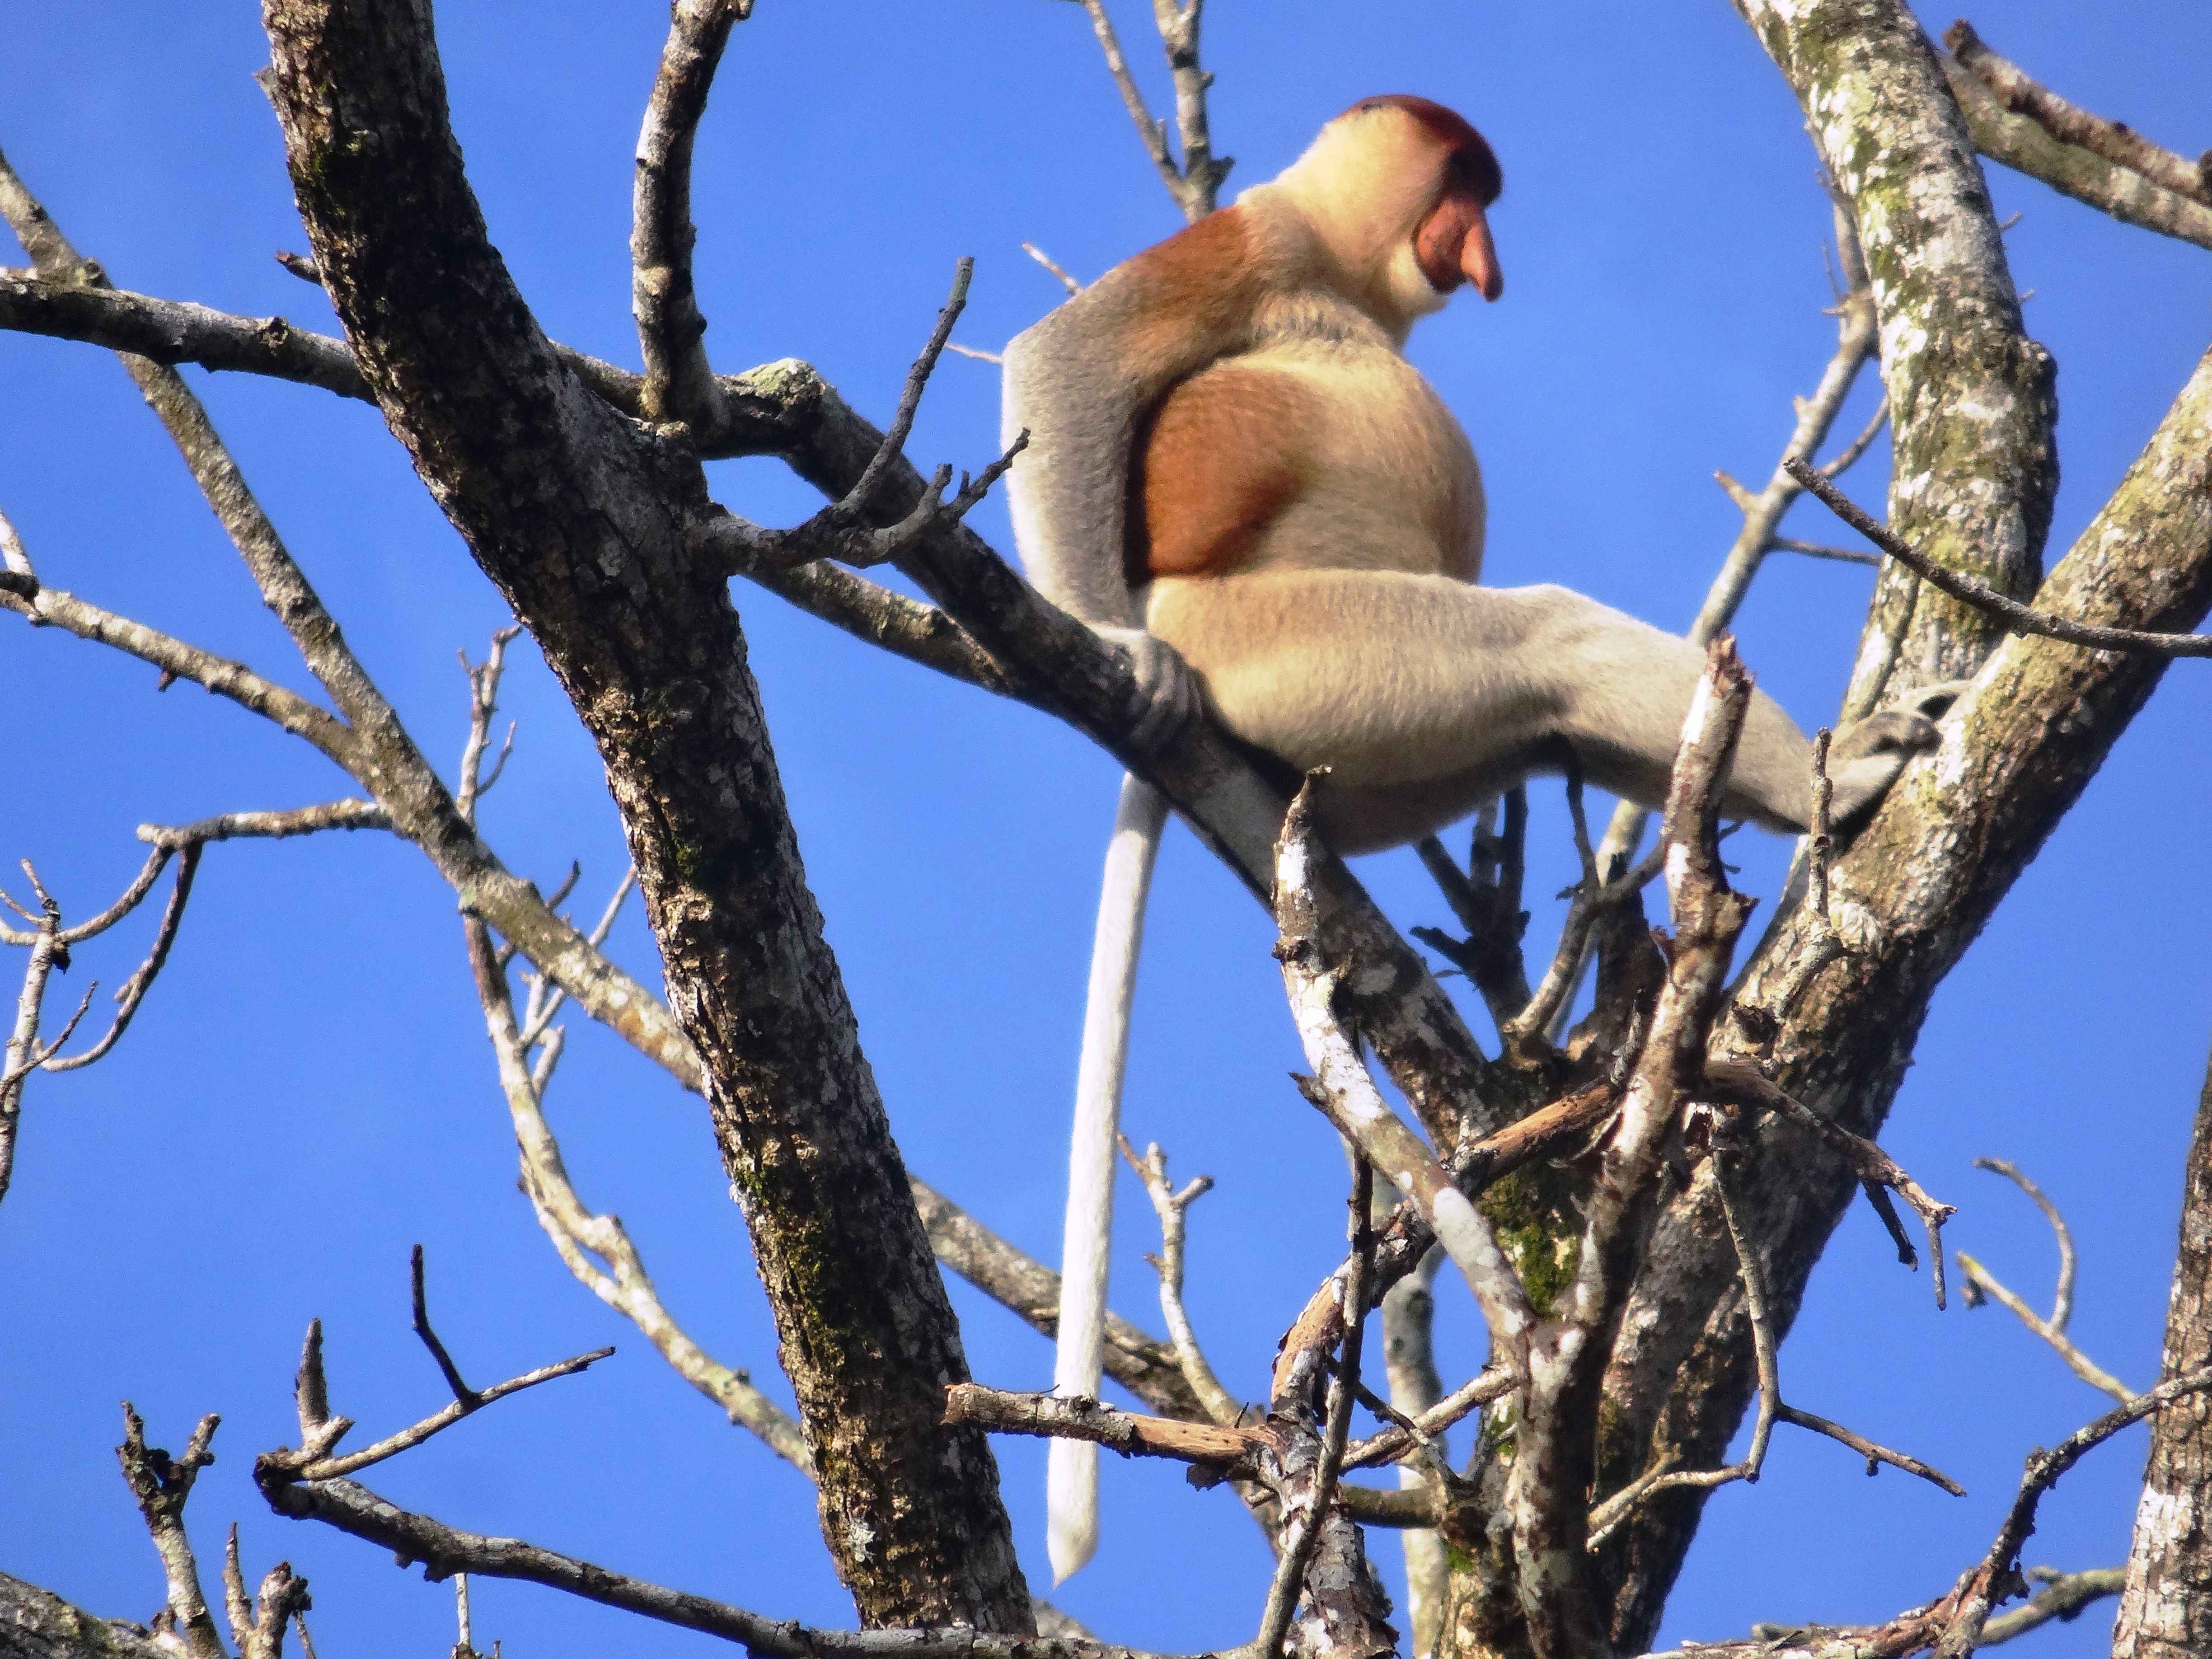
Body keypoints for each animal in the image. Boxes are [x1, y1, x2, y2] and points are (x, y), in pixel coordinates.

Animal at [1004, 94, 1955, 1584]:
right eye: (1463, 187)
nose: (1486, 259)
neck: (1346, 276)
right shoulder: (1261, 241)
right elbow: (1067, 354)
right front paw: (1112, 642)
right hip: (1296, 649)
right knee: (1549, 640)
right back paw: (1835, 780)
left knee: (1545, 727)